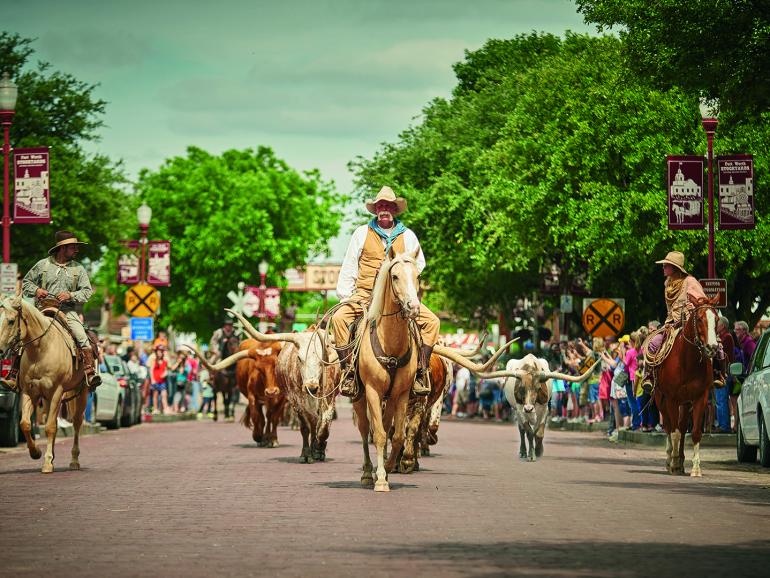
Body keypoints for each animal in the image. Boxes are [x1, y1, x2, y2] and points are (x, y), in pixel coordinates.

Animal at [0, 294, 88, 470]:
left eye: (11, 321)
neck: (40, 350)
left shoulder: (56, 392)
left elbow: (50, 427)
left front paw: (47, 462)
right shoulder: (29, 392)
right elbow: (26, 424)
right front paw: (36, 453)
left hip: (81, 392)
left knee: (76, 422)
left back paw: (74, 460)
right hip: (48, 398)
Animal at [648, 294, 720, 474]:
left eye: (716, 319)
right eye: (700, 319)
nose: (712, 347)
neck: (688, 361)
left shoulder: (700, 398)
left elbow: (694, 433)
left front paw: (696, 468)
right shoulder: (671, 399)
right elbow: (674, 433)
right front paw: (673, 463)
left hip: (686, 403)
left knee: (681, 427)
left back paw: (680, 461)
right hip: (661, 399)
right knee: (669, 426)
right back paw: (671, 460)